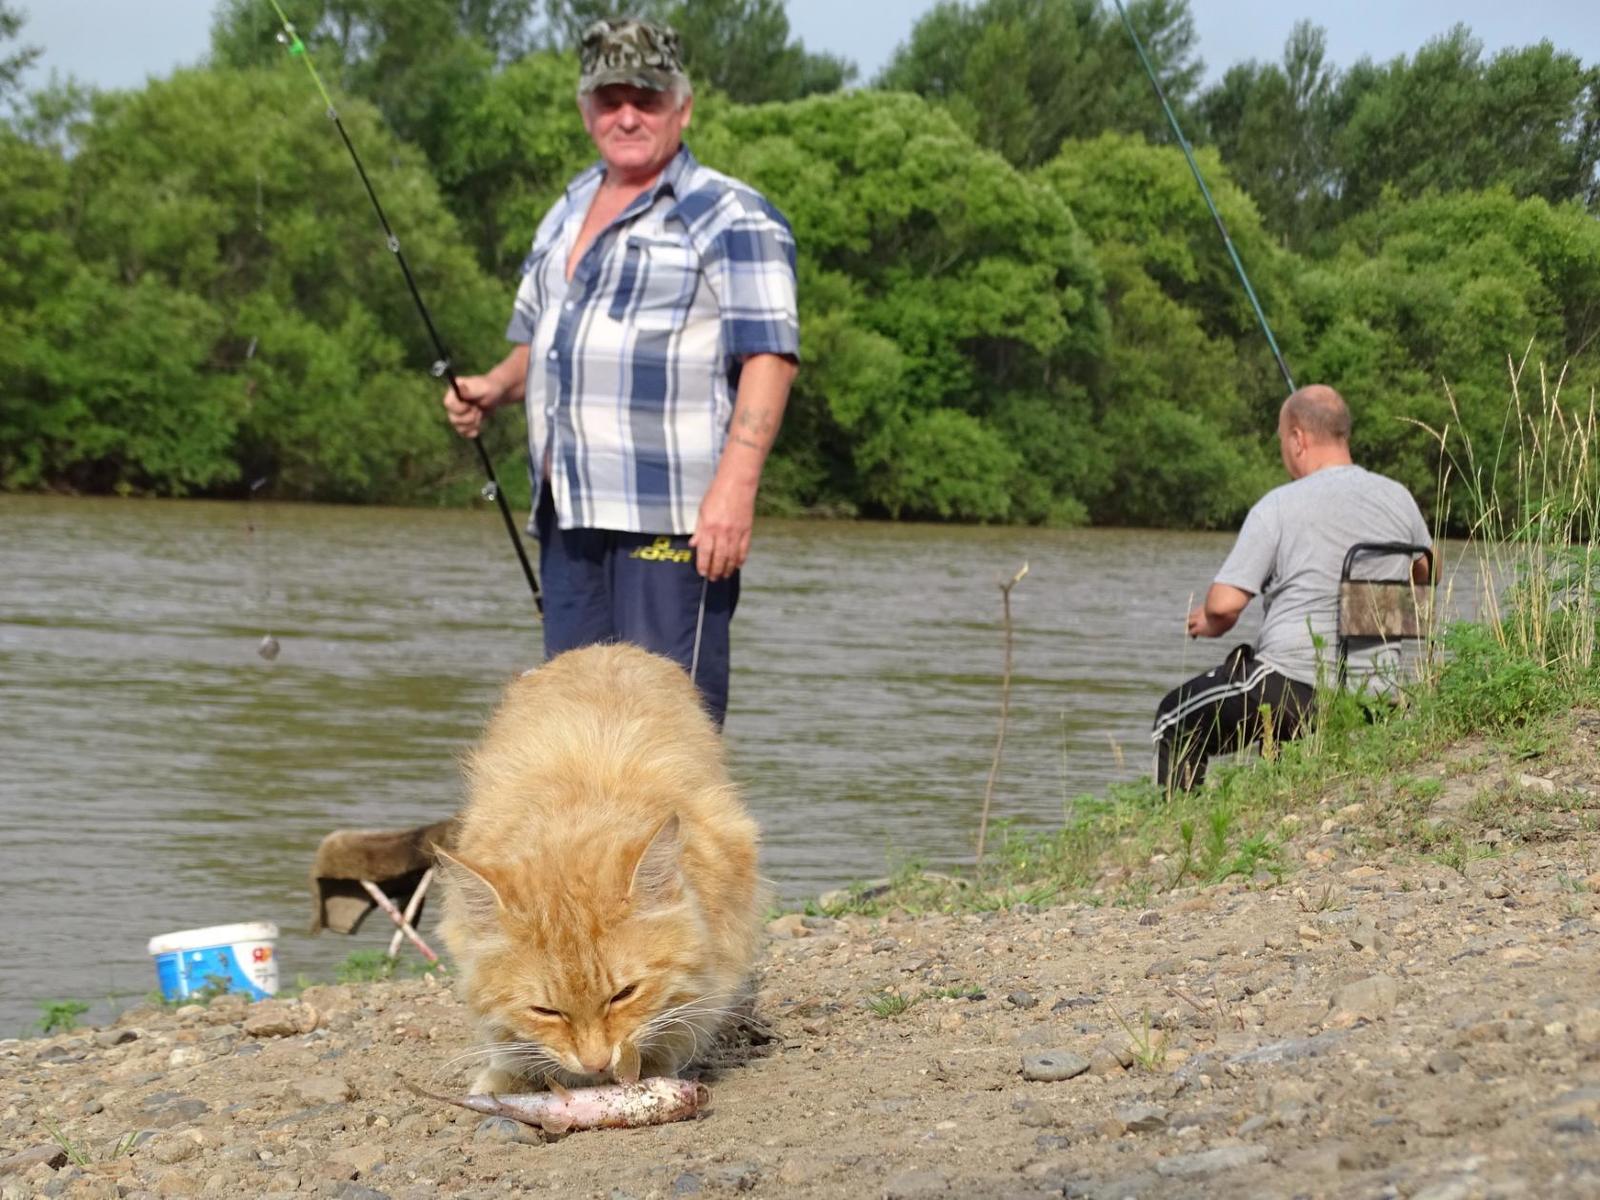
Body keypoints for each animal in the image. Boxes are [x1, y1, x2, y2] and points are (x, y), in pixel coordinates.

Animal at [438, 643, 761, 1094]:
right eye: (546, 1011)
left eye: (624, 994)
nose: (595, 1063)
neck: (579, 814)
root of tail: (608, 646)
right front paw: (504, 1076)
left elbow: (684, 1017)